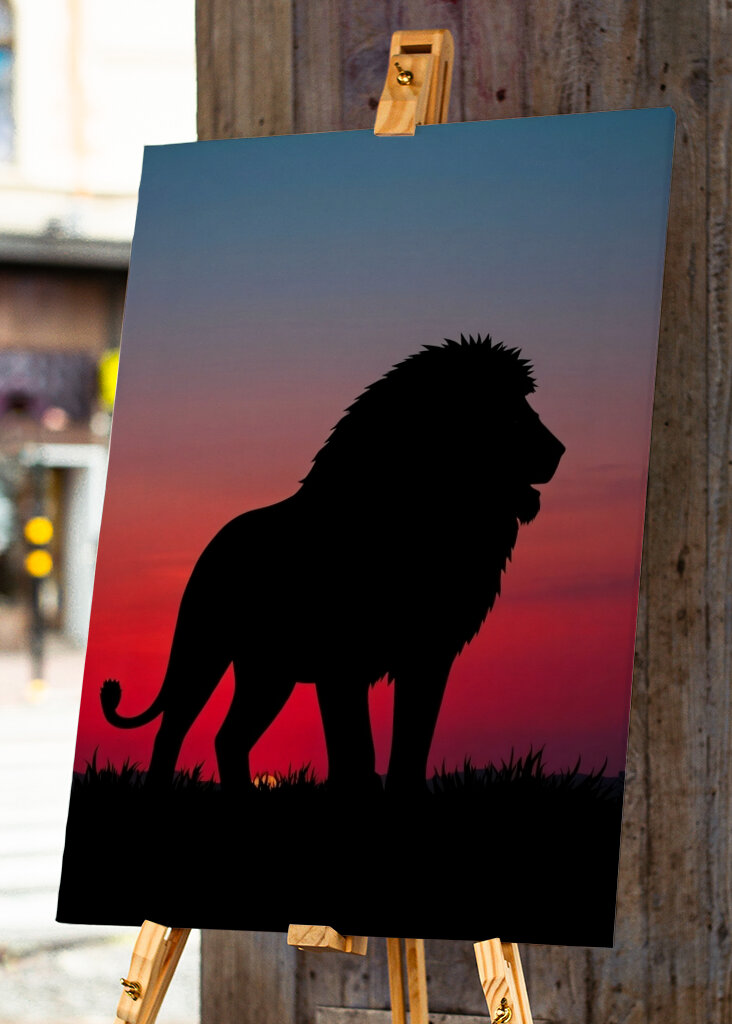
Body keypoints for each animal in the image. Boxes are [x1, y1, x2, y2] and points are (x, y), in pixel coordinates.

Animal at [101, 334, 565, 793]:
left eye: (529, 408)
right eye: (511, 415)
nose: (559, 450)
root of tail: (211, 546)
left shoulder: (427, 654)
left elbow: (412, 742)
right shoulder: (343, 662)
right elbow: (355, 747)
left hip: (268, 672)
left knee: (228, 738)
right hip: (205, 649)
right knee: (173, 729)